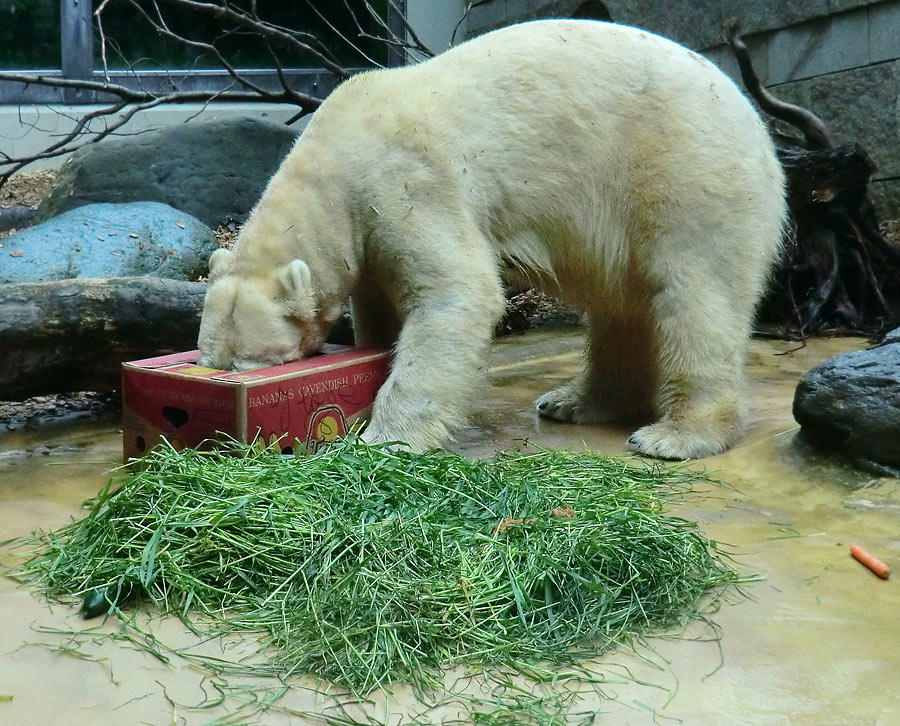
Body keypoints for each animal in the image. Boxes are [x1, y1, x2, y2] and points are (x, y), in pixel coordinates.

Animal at [199, 21, 788, 460]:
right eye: (211, 360)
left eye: (247, 365)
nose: (220, 397)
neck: (333, 162)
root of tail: (758, 127)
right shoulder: (365, 235)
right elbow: (381, 307)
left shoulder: (408, 184)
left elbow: (457, 293)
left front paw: (385, 440)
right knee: (622, 306)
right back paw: (576, 401)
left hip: (683, 173)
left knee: (694, 296)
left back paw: (677, 434)